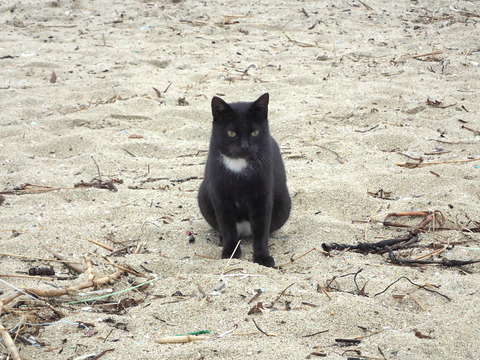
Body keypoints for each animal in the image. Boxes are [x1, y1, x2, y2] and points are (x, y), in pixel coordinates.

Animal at [197, 93, 290, 268]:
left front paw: (263, 257)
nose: (245, 146)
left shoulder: (262, 196)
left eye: (255, 132)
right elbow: (227, 227)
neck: (238, 164)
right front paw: (230, 252)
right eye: (231, 133)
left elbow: (261, 229)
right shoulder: (220, 196)